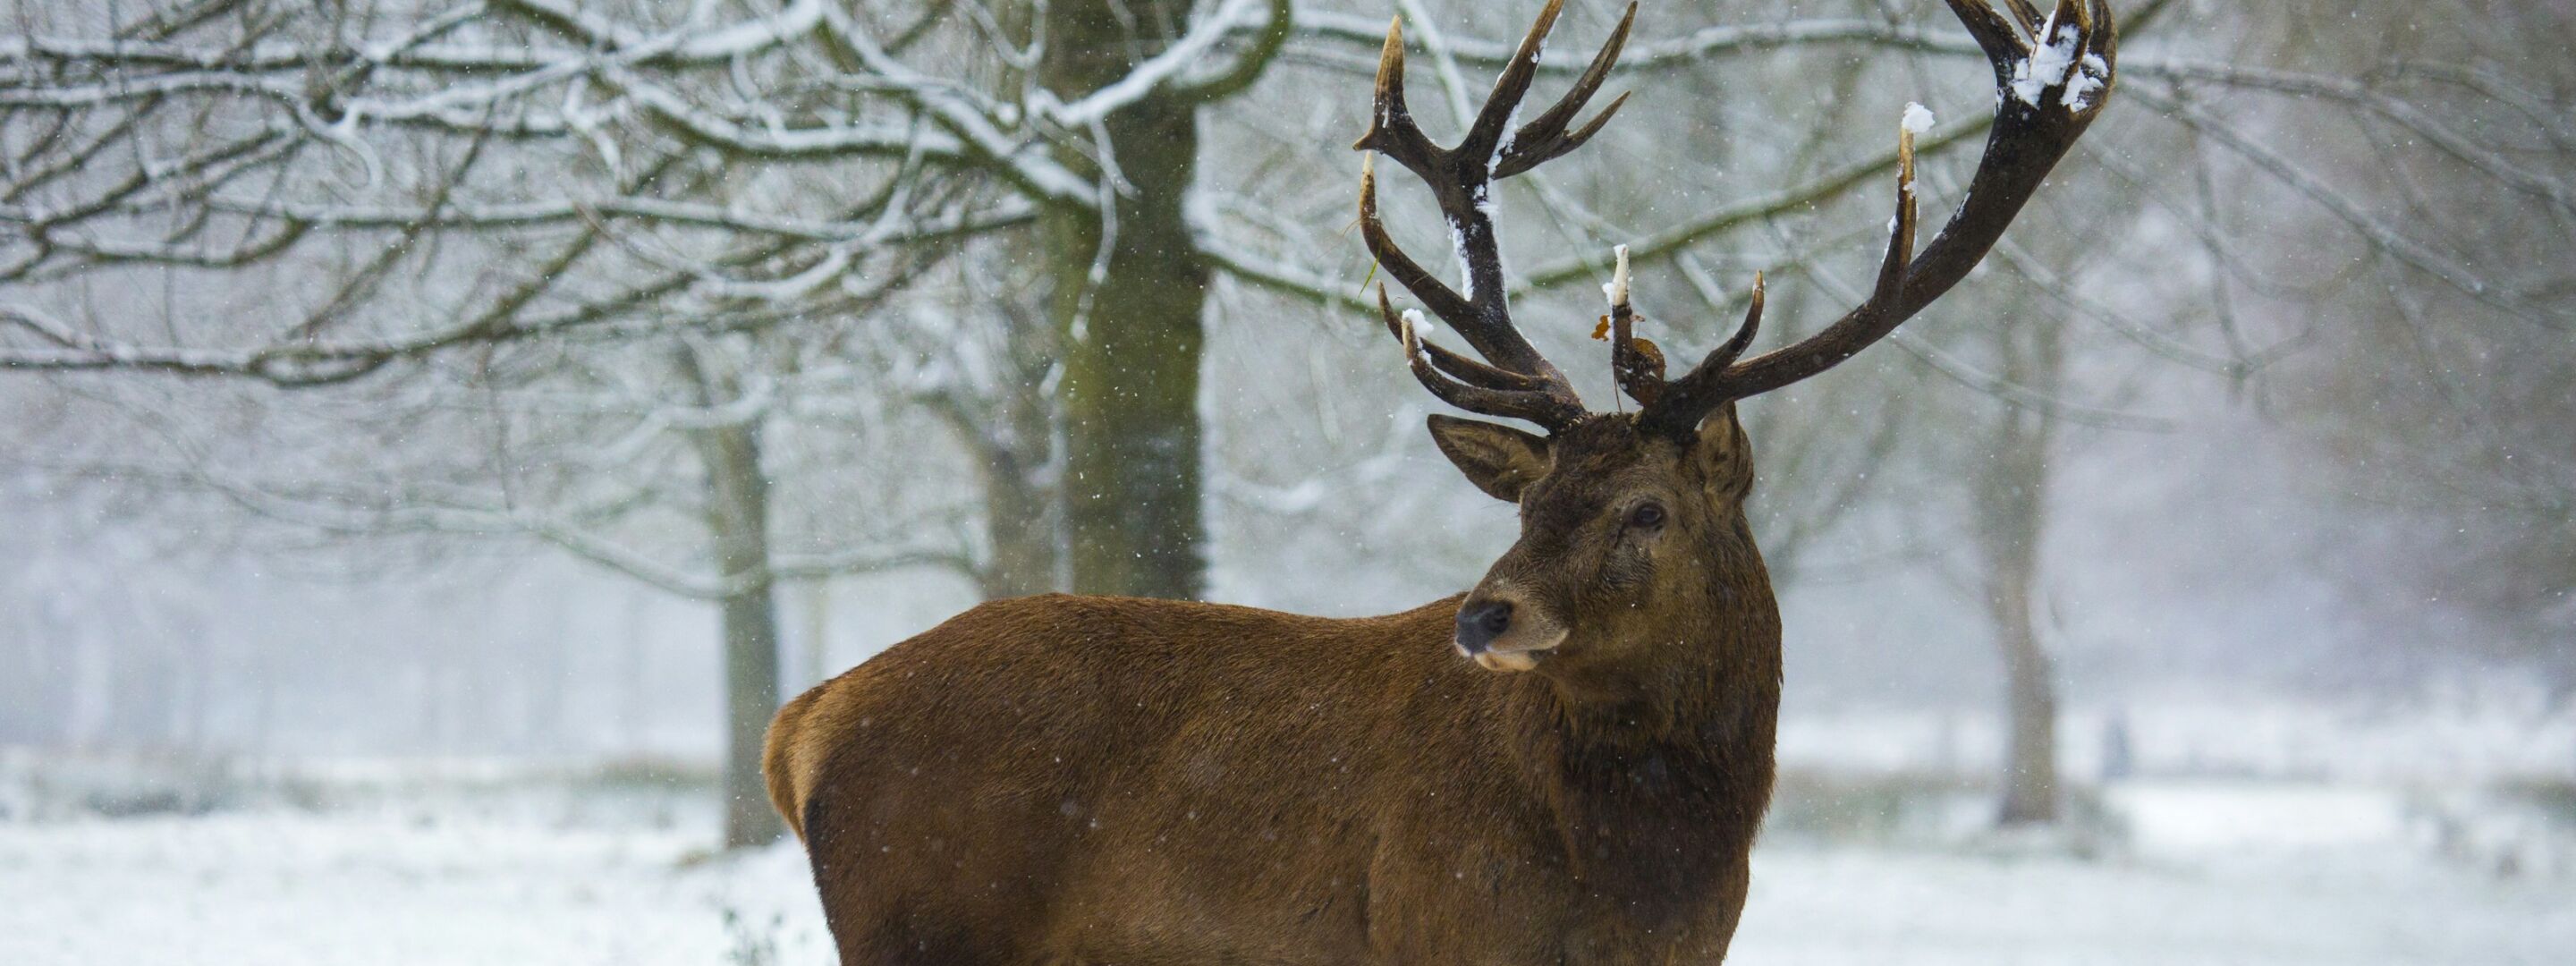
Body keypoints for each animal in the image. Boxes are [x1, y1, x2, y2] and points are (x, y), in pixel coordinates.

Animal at [764, 1, 2116, 962]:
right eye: (1528, 502)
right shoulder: (1440, 929)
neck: (1649, 885)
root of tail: (802, 724)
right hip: (924, 927)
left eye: (1647, 510)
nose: (1484, 614)